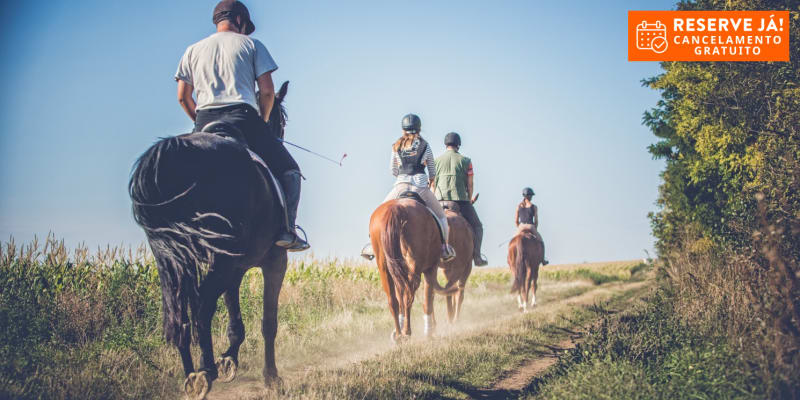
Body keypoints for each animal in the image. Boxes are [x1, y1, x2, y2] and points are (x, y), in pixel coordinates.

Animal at [129, 82, 293, 399]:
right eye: (282, 119)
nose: (279, 134)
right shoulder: (274, 261)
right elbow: (268, 322)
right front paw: (271, 377)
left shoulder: (235, 267)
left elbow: (234, 315)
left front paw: (229, 358)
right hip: (220, 259)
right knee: (202, 308)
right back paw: (204, 372)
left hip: (175, 260)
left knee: (181, 313)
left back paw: (192, 374)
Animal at [369, 197, 459, 341]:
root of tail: (396, 208)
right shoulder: (431, 268)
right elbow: (428, 299)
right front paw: (429, 331)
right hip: (415, 267)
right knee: (409, 296)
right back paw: (407, 331)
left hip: (384, 267)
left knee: (393, 301)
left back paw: (399, 334)